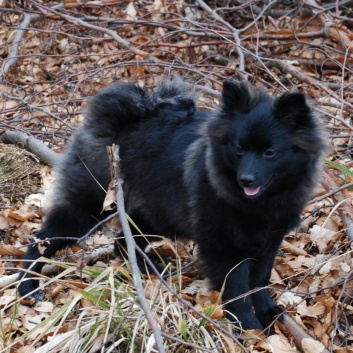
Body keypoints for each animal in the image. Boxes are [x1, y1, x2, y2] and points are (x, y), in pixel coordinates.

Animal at [17, 77, 324, 330]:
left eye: (270, 152)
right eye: (238, 149)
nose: (245, 179)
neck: (260, 204)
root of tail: (118, 119)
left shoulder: (270, 241)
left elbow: (259, 281)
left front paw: (267, 311)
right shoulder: (223, 245)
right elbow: (237, 289)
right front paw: (248, 326)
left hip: (152, 216)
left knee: (122, 245)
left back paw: (150, 270)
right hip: (90, 208)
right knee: (41, 239)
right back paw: (27, 286)